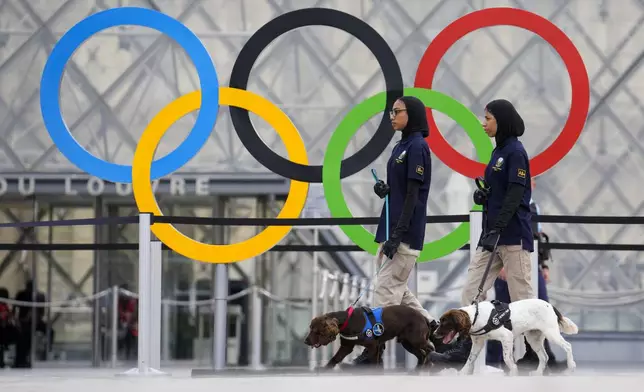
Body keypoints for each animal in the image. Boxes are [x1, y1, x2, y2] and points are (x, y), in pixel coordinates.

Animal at [304, 304, 438, 370]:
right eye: (310, 328)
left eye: (315, 331)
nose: (305, 341)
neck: (348, 320)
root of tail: (424, 318)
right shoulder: (346, 346)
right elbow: (335, 359)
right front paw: (324, 369)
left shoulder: (373, 346)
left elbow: (373, 360)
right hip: (408, 343)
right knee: (421, 355)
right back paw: (419, 368)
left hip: (416, 340)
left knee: (430, 349)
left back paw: (430, 364)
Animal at [432, 298, 580, 376]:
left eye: (445, 322)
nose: (434, 334)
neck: (476, 316)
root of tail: (550, 305)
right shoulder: (478, 343)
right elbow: (469, 359)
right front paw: (462, 373)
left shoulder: (507, 337)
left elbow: (507, 358)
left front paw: (513, 372)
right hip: (533, 337)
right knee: (544, 356)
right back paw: (538, 373)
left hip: (551, 333)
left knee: (568, 346)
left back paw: (571, 366)